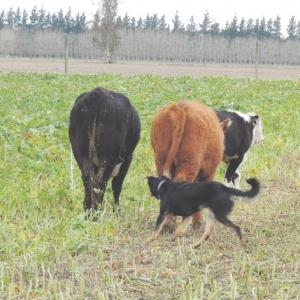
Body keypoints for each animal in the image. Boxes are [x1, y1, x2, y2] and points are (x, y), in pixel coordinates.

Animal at [151, 101, 229, 230]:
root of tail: (179, 106)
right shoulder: (209, 172)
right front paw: (197, 223)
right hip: (190, 162)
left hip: (161, 159)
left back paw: (169, 223)